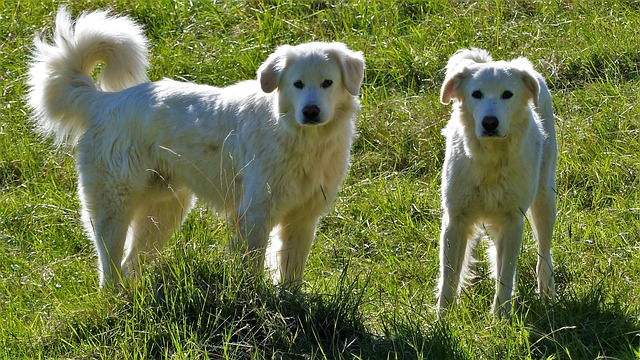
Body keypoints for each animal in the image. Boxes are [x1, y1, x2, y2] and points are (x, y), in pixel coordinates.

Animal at [438, 48, 556, 318]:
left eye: (507, 95)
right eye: (476, 94)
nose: (489, 123)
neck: (490, 159)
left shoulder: (512, 221)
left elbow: (506, 274)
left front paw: (501, 316)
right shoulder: (455, 219)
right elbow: (449, 276)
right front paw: (443, 318)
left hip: (545, 201)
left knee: (544, 254)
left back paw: (548, 294)